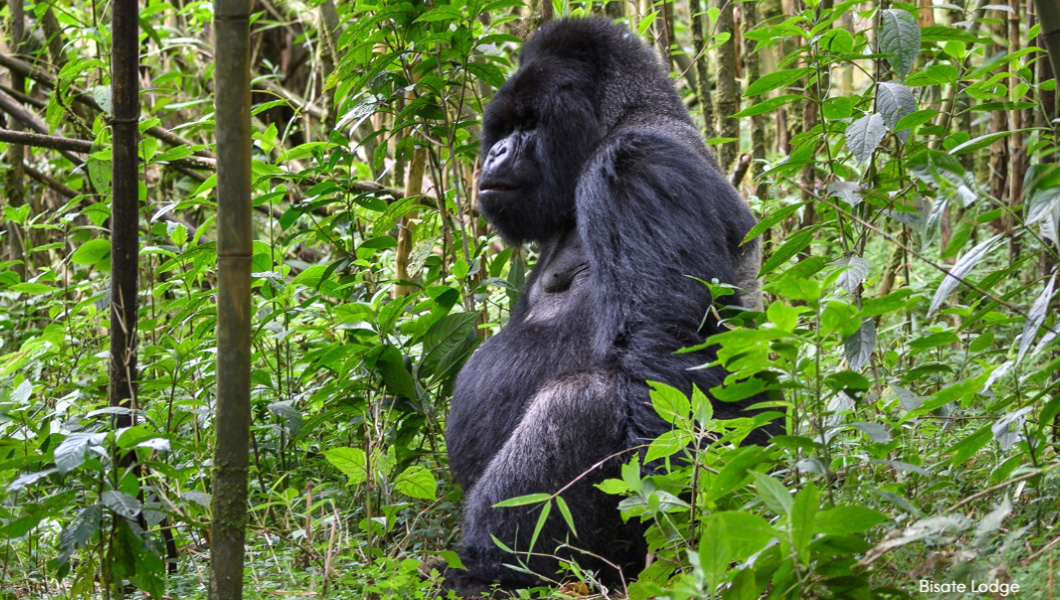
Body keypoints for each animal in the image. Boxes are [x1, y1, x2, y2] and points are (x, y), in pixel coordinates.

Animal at [443, 17, 775, 597]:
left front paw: (671, 541)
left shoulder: (636, 166)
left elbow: (666, 356)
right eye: (503, 126)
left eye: (528, 124)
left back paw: (488, 571)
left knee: (587, 399)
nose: (495, 154)